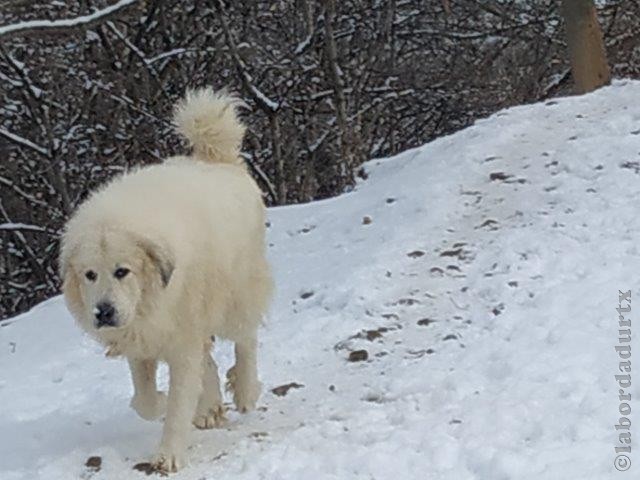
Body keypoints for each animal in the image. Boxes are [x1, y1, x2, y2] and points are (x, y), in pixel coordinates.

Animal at [57, 89, 272, 472]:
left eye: (122, 271)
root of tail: (219, 160)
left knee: (245, 339)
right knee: (211, 358)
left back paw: (245, 390)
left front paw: (169, 454)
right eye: (90, 275)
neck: (150, 298)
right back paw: (210, 407)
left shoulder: (178, 341)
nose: (104, 312)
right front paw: (158, 401)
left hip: (235, 296)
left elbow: (177, 404)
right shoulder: (140, 337)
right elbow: (144, 399)